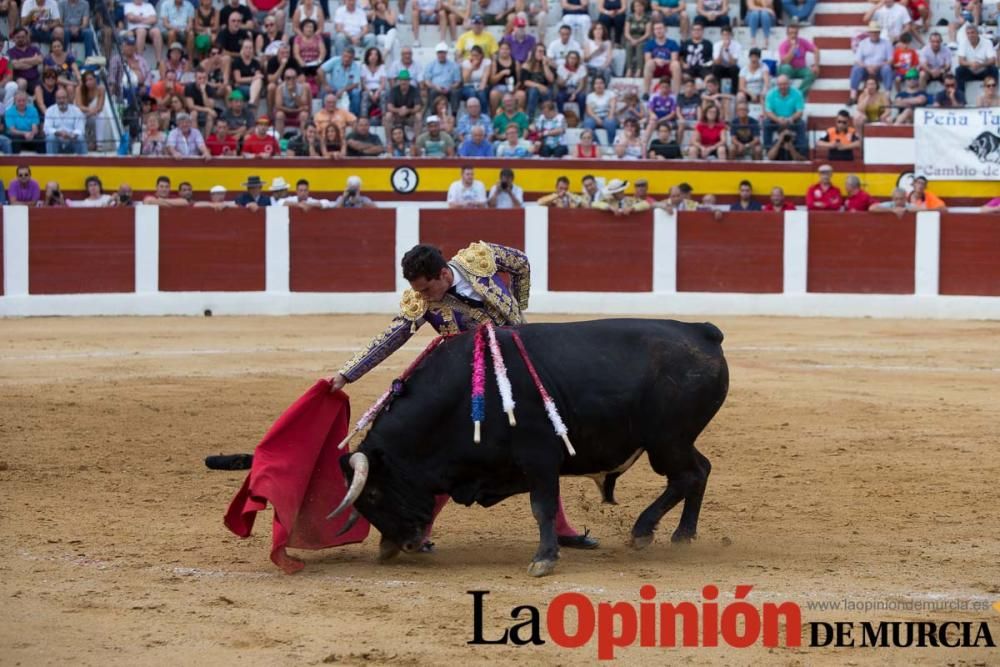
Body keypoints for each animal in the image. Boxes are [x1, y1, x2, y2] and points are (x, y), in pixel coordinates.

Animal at [332, 318, 732, 576]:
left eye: (374, 495)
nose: (404, 544)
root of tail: (703, 332)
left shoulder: (540, 457)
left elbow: (542, 507)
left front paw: (544, 559)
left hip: (667, 440)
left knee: (687, 475)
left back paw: (643, 531)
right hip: (674, 441)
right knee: (700, 470)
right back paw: (682, 535)